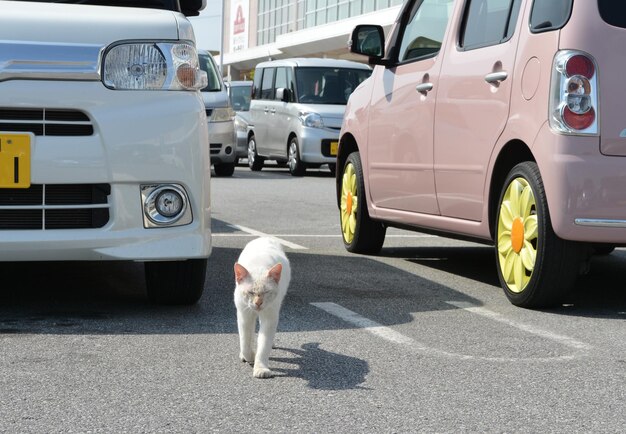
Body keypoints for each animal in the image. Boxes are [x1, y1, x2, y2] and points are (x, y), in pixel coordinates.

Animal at [232, 236, 290, 378]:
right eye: (251, 292)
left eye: (266, 292)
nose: (258, 303)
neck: (259, 266)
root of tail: (266, 237)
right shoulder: (244, 315)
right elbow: (245, 342)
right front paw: (249, 356)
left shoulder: (270, 317)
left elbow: (264, 345)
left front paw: (261, 368)